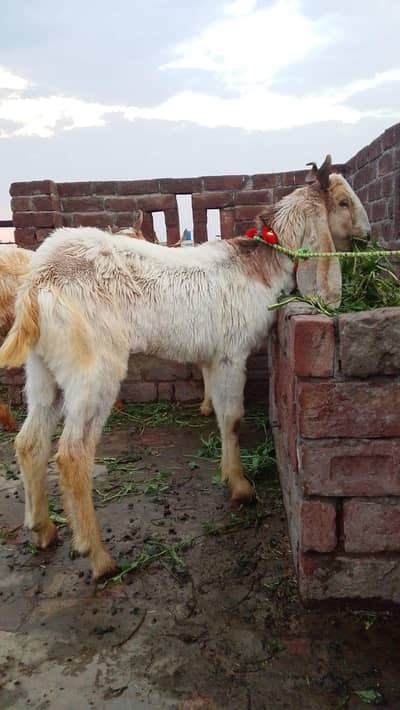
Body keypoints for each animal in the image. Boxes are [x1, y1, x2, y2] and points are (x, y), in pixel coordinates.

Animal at [0, 156, 370, 580]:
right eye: (342, 202)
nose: (368, 236)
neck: (261, 259)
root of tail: (38, 282)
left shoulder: (211, 356)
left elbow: (220, 413)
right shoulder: (231, 353)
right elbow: (233, 418)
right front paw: (240, 486)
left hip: (43, 368)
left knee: (30, 442)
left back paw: (42, 529)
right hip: (93, 368)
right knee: (73, 455)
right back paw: (99, 556)